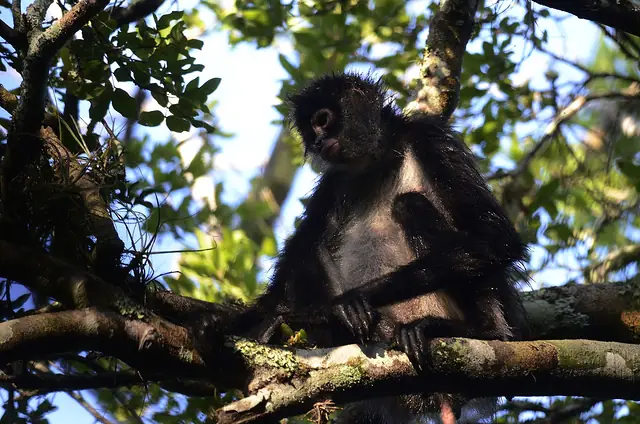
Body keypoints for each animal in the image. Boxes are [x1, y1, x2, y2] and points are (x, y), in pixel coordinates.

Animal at [200, 72, 528, 423]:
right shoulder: (333, 182)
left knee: (409, 203)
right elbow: (285, 279)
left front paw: (344, 304)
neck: (377, 161)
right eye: (310, 131)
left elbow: (493, 237)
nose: (318, 143)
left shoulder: (430, 136)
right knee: (312, 247)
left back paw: (483, 331)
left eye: (322, 120)